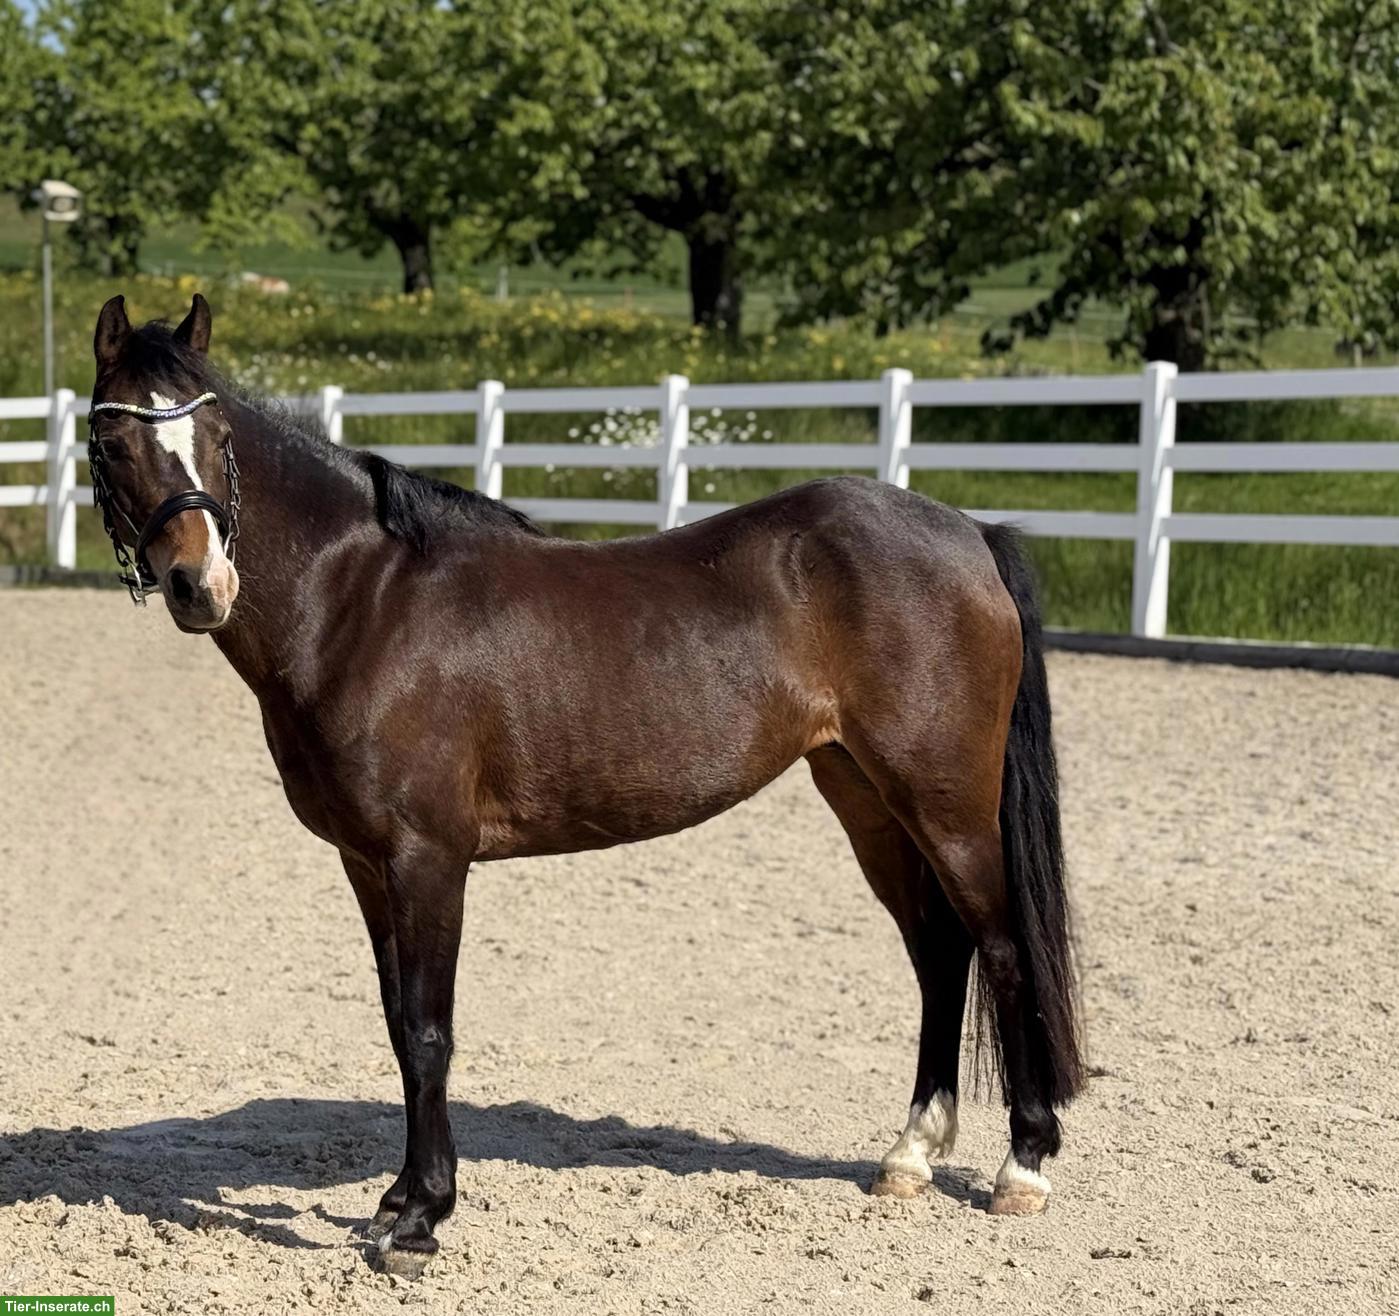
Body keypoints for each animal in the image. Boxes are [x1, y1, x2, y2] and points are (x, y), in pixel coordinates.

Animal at [86, 293, 1084, 1276]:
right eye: (113, 440)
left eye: (216, 432)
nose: (200, 584)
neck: (362, 602)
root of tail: (969, 534)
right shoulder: (365, 865)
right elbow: (397, 1027)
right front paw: (397, 1203)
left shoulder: (426, 860)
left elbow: (428, 1030)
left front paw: (422, 1221)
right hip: (866, 797)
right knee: (937, 952)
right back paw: (908, 1156)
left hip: (946, 801)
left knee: (1000, 946)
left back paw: (1023, 1166)